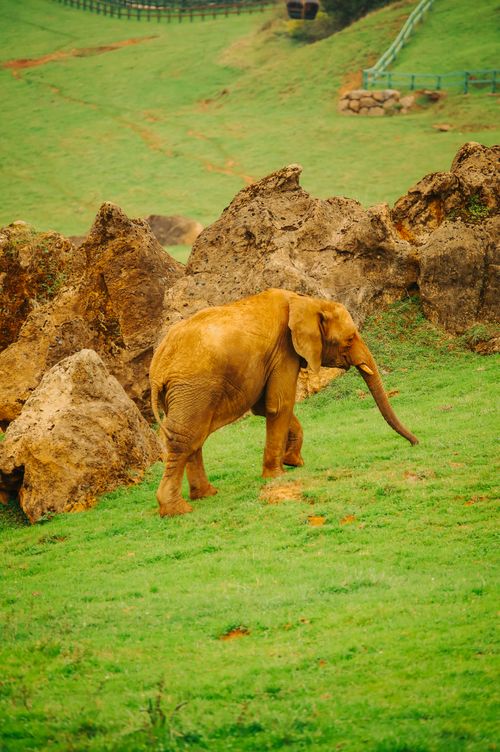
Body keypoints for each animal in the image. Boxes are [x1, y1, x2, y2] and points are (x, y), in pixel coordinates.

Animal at [150, 288, 418, 517]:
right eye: (350, 339)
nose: (416, 443)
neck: (307, 301)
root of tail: (157, 368)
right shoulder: (284, 350)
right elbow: (280, 403)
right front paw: (276, 475)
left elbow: (266, 407)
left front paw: (294, 462)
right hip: (193, 388)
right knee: (186, 438)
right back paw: (178, 510)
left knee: (195, 436)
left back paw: (206, 495)